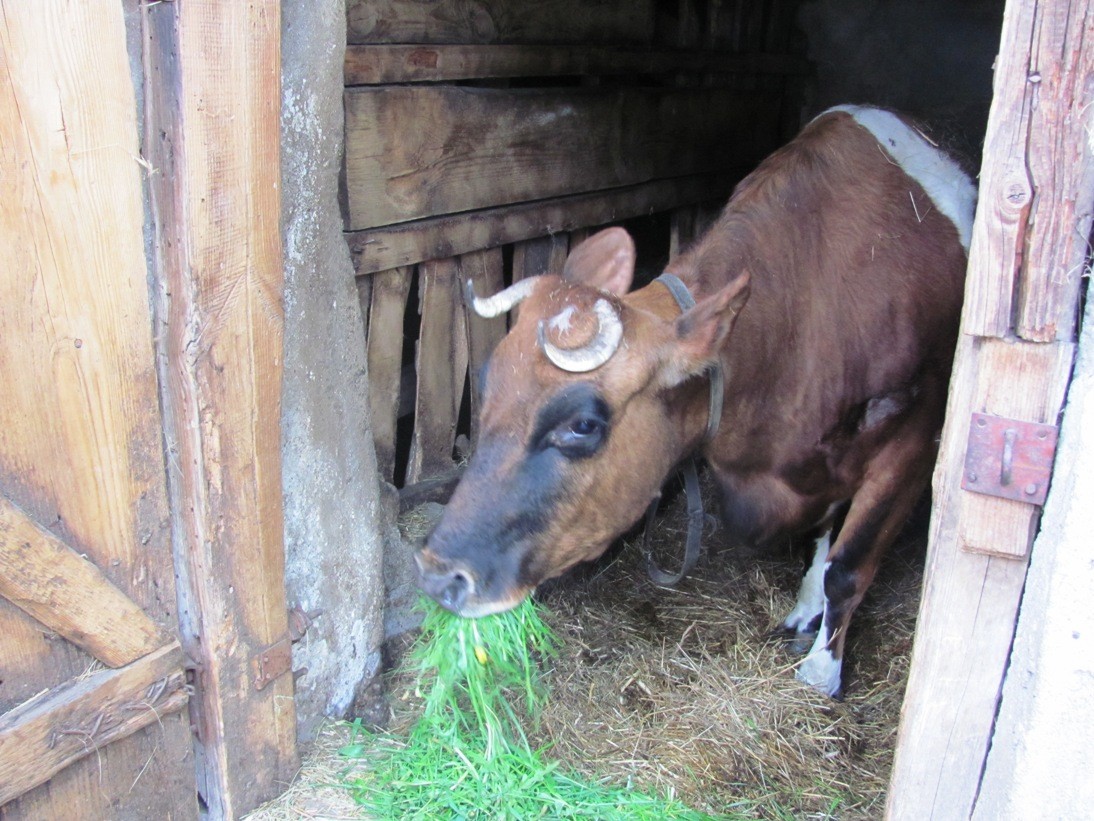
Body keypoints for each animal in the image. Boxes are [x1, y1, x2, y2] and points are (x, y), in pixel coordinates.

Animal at [415, 101, 975, 696]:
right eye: (488, 383)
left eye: (583, 425)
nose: (435, 573)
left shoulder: (915, 443)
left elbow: (849, 568)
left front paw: (821, 674)